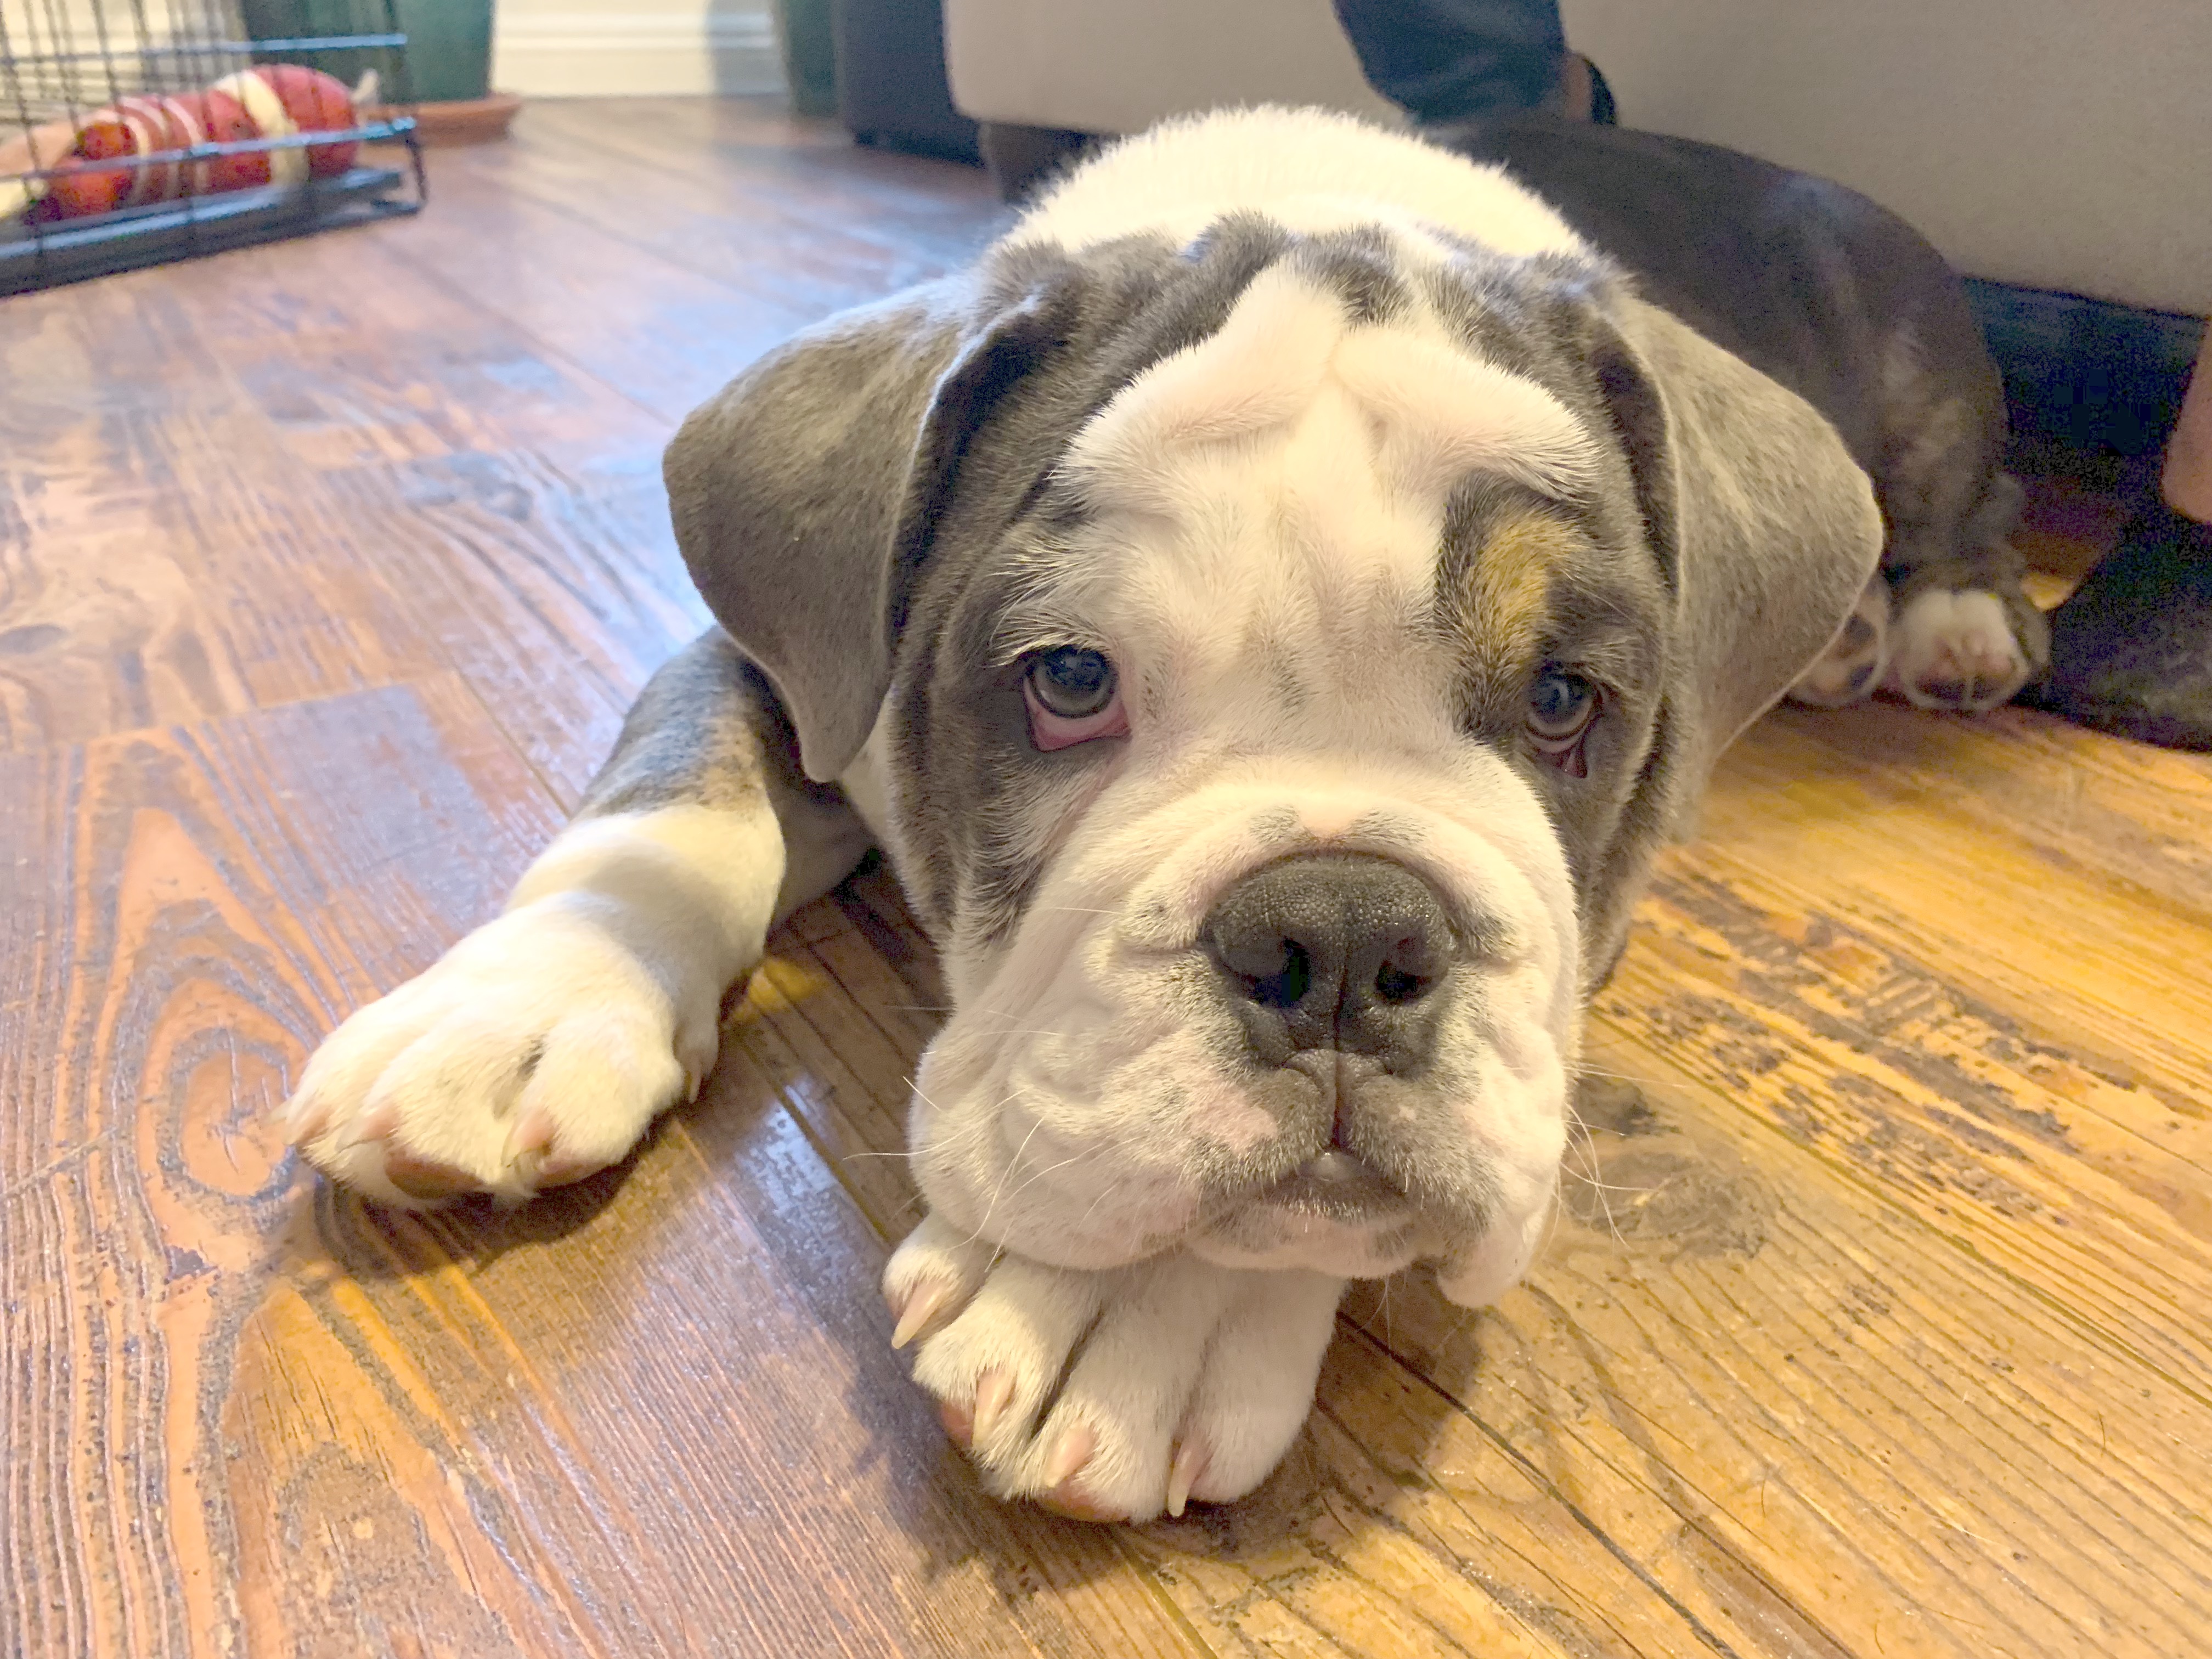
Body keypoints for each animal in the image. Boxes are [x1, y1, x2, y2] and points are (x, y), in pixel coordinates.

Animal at [290, 110, 1884, 1531]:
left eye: (1563, 700)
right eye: (1068, 682)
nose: (1344, 933)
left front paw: (1125, 1304)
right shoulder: (773, 665)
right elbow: (666, 801)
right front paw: (522, 1007)